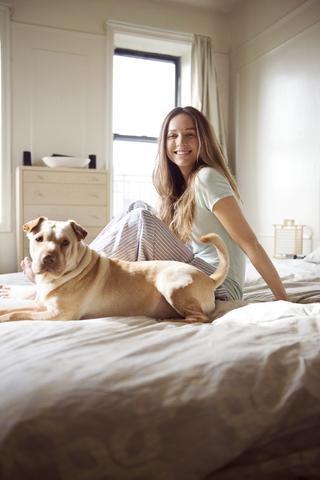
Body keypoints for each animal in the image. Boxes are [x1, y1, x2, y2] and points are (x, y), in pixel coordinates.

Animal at [0, 218, 229, 324]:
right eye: (39, 239)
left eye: (65, 242)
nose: (47, 258)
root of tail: (209, 279)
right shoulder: (39, 306)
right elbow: (13, 310)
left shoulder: (59, 315)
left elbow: (17, 314)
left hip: (170, 283)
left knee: (201, 318)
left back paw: (170, 320)